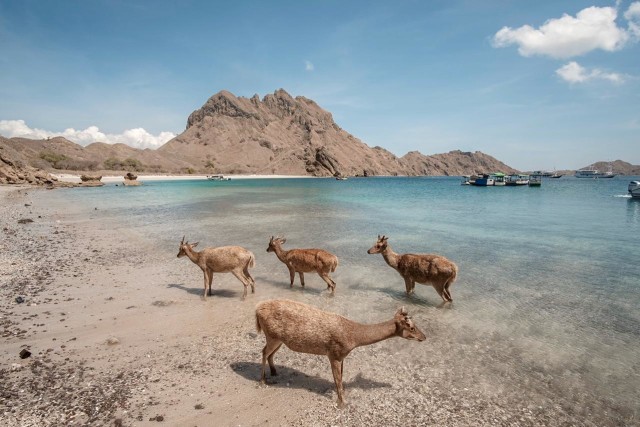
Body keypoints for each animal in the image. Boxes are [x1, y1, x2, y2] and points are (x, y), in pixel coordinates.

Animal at [255, 300, 424, 410]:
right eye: (411, 327)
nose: (424, 337)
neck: (353, 339)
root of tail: (257, 310)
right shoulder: (334, 353)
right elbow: (338, 379)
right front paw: (342, 404)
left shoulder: (341, 356)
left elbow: (340, 377)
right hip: (272, 336)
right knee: (263, 352)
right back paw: (263, 380)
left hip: (278, 339)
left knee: (269, 354)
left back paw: (274, 372)